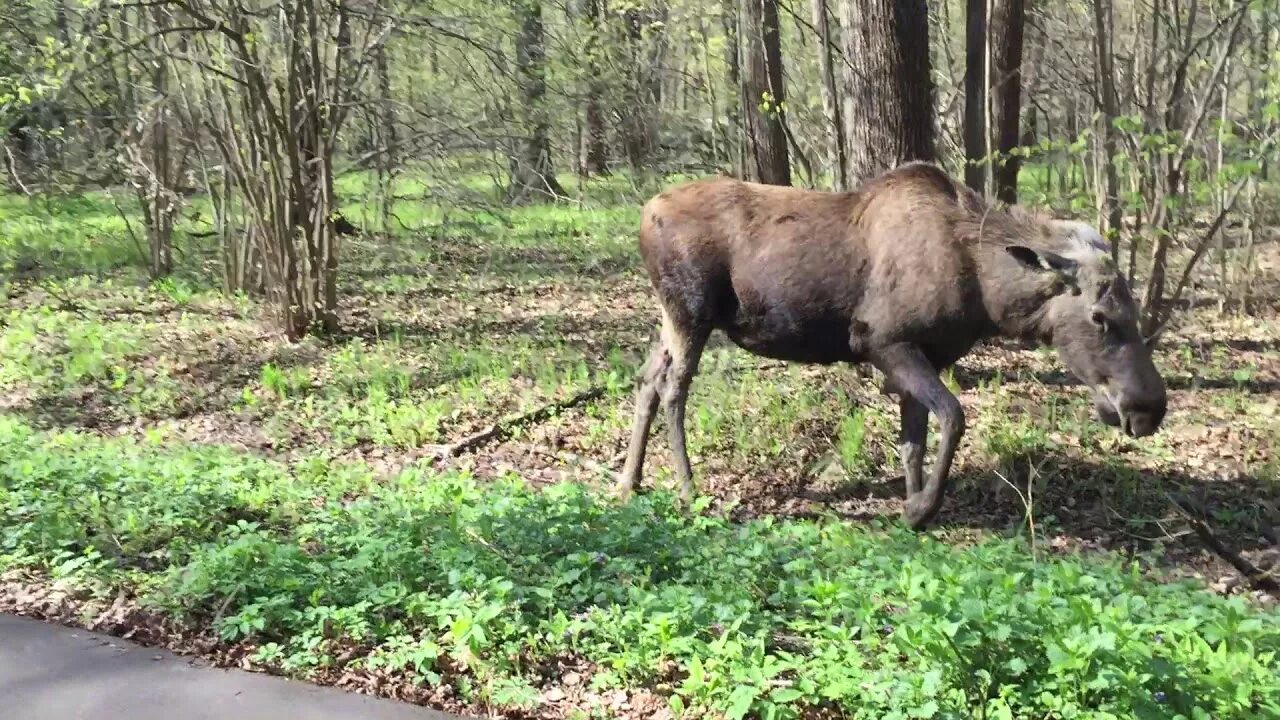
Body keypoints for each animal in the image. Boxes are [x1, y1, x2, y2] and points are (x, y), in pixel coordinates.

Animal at [619, 159, 1172, 527]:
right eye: (1101, 316)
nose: (1148, 408)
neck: (984, 292)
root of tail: (642, 214)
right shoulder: (884, 343)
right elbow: (954, 417)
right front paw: (920, 508)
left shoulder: (926, 354)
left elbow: (913, 440)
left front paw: (913, 501)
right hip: (691, 313)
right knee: (673, 390)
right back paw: (688, 490)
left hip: (670, 318)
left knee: (646, 381)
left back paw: (629, 481)